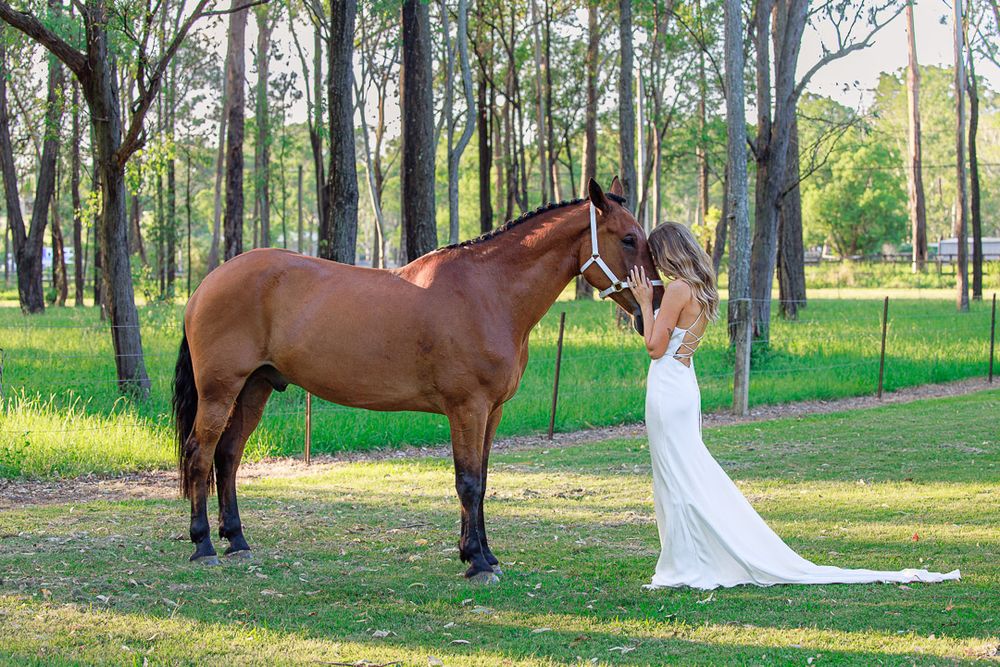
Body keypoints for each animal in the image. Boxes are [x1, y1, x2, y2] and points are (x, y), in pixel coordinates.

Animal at [172, 176, 664, 583]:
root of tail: (206, 284)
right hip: (220, 391)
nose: (653, 309)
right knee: (200, 454)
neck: (487, 292)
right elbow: (468, 481)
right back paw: (204, 545)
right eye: (628, 238)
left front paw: (485, 554)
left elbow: (483, 479)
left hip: (254, 389)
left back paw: (237, 540)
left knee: (228, 457)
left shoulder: (492, 411)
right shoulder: (467, 408)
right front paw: (477, 562)